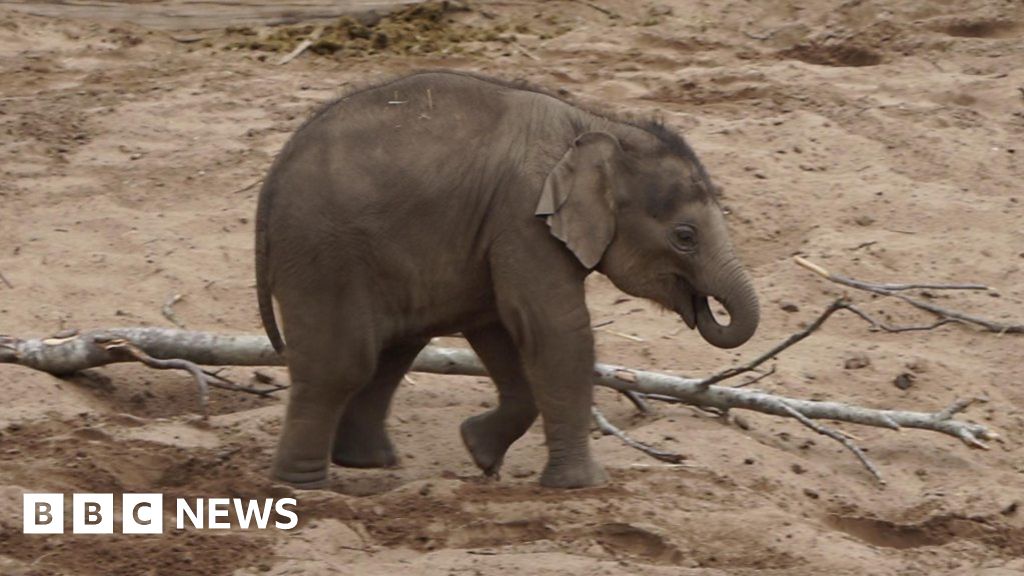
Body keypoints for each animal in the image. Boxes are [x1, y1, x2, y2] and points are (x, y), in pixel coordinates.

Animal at [251, 69, 757, 485]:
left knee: (393, 348)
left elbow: (501, 327)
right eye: (685, 236)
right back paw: (301, 485)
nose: (703, 306)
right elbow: (555, 328)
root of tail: (270, 182)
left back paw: (368, 464)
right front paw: (585, 484)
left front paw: (478, 452)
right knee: (344, 362)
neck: (598, 127)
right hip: (323, 253)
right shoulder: (522, 216)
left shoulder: (496, 230)